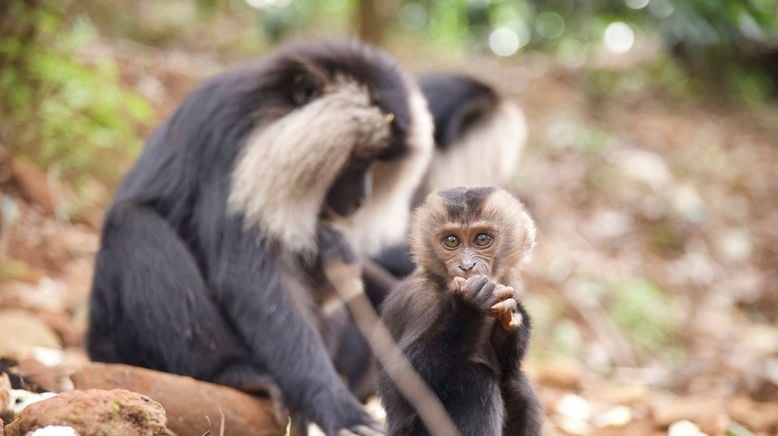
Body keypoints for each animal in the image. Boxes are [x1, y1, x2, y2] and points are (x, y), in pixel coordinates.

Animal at [89, 39, 436, 434]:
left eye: (378, 164)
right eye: (358, 157)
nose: (360, 199)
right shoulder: (233, 144)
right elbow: (251, 280)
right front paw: (334, 403)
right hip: (117, 342)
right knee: (134, 226)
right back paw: (232, 372)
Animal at [376, 186, 540, 436]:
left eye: (482, 239)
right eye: (452, 241)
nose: (467, 266)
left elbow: (508, 366)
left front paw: (512, 319)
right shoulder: (421, 299)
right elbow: (402, 384)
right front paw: (468, 306)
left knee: (516, 387)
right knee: (475, 379)